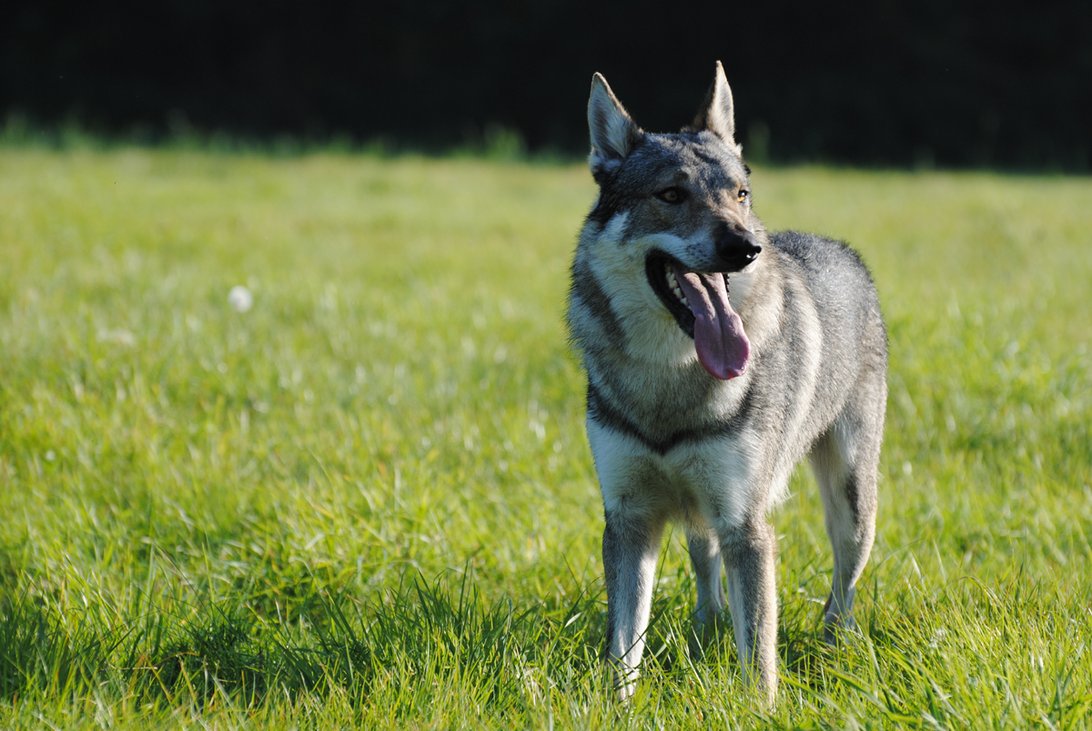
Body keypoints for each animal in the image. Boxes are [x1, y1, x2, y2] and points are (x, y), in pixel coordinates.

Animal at [567, 62, 891, 699]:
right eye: (671, 195)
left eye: (740, 194)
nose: (747, 247)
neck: (670, 380)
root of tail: (839, 248)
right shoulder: (629, 520)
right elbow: (624, 646)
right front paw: (616, 708)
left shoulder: (748, 525)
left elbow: (758, 656)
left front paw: (759, 709)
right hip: (702, 514)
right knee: (706, 573)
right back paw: (705, 630)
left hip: (850, 504)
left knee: (842, 591)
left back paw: (831, 648)